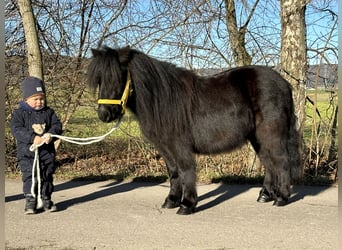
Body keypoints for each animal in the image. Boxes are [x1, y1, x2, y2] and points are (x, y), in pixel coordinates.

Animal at [88, 46, 302, 214]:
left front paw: (187, 204)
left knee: (281, 161)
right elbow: (173, 172)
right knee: (269, 162)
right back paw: (265, 195)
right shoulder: (165, 147)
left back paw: (281, 198)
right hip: (258, 137)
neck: (162, 100)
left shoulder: (179, 145)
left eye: (118, 78)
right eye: (99, 80)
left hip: (271, 134)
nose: (104, 114)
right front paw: (171, 201)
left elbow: (185, 170)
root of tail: (285, 84)